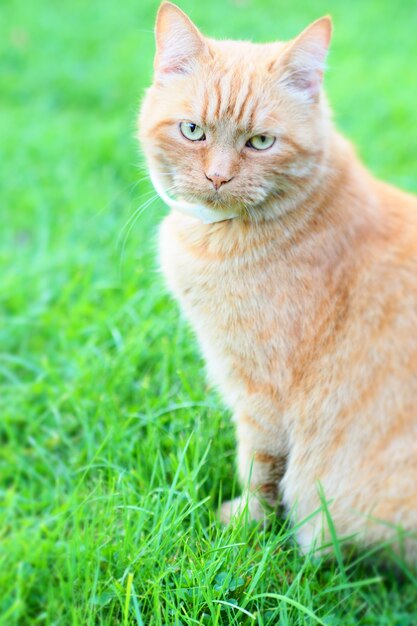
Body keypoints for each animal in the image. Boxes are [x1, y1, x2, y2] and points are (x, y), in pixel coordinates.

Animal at [139, 0, 416, 556]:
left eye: (261, 142)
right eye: (192, 131)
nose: (218, 177)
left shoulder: (262, 395)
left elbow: (260, 467)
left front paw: (245, 525)